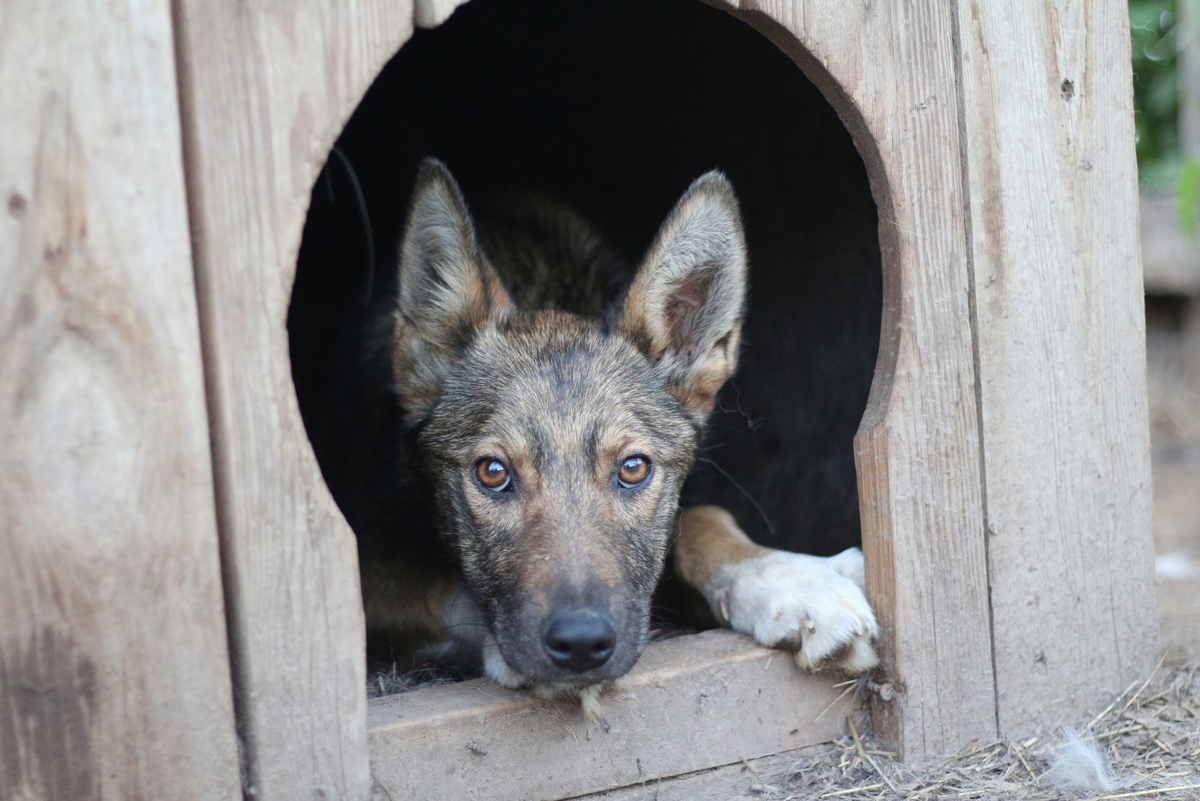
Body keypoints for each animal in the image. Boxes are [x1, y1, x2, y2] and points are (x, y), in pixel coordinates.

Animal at [350, 155, 878, 700]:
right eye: (492, 472)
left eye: (633, 468)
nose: (581, 643)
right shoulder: (365, 560)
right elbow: (452, 588)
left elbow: (703, 518)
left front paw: (791, 579)